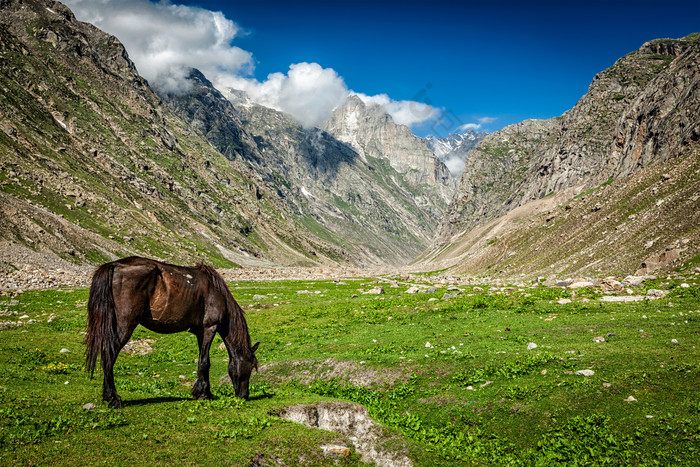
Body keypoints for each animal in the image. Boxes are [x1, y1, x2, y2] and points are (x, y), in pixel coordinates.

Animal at [85, 258, 260, 408]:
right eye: (251, 366)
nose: (244, 396)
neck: (215, 291)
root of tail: (113, 265)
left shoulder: (200, 332)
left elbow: (203, 360)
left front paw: (205, 392)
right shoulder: (210, 327)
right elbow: (205, 362)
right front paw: (203, 394)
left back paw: (108, 397)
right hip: (125, 325)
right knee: (109, 355)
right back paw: (113, 398)